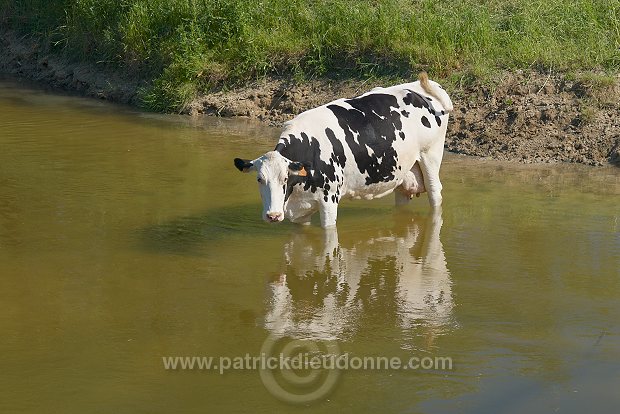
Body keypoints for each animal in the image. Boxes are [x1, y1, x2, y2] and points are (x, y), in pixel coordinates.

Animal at [232, 71, 450, 226]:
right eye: (259, 179)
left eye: (285, 178)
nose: (273, 215)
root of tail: (416, 88)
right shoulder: (301, 212)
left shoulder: (329, 201)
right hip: (404, 171)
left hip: (430, 156)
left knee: (435, 193)